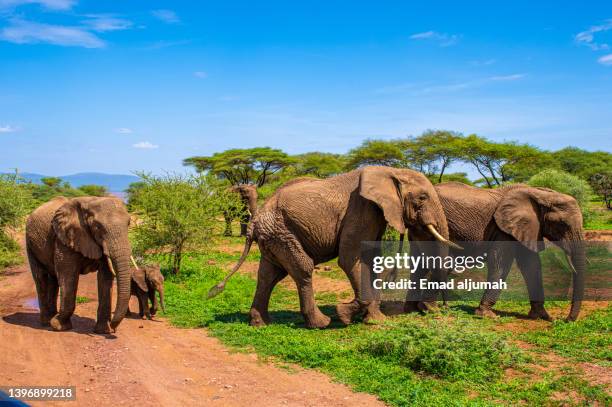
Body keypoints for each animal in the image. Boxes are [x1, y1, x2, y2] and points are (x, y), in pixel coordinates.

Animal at [25, 196, 137, 334]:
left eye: (128, 223)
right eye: (98, 227)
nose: (114, 328)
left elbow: (105, 277)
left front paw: (103, 331)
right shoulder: (64, 239)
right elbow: (68, 276)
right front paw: (59, 326)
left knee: (53, 279)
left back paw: (51, 317)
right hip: (30, 243)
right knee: (40, 278)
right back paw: (46, 322)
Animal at [210, 167, 460, 330]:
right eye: (423, 197)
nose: (443, 309)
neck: (391, 172)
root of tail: (256, 221)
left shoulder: (374, 214)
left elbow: (371, 259)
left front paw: (375, 320)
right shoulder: (360, 209)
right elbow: (350, 259)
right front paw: (345, 314)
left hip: (273, 236)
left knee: (268, 275)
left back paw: (260, 323)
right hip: (281, 233)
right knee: (302, 269)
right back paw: (321, 324)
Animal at [430, 182, 584, 322]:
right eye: (562, 224)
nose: (565, 320)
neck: (540, 194)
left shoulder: (525, 228)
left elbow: (531, 265)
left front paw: (542, 316)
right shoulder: (502, 229)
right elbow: (501, 262)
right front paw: (487, 315)